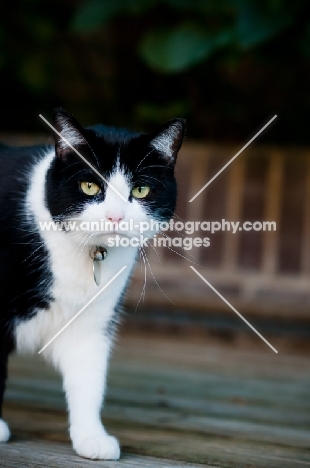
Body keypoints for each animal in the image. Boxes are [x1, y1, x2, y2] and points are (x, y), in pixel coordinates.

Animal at [0, 108, 185, 458]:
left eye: (140, 191)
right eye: (89, 186)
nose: (114, 217)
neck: (90, 254)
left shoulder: (92, 321)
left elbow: (88, 379)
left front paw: (91, 438)